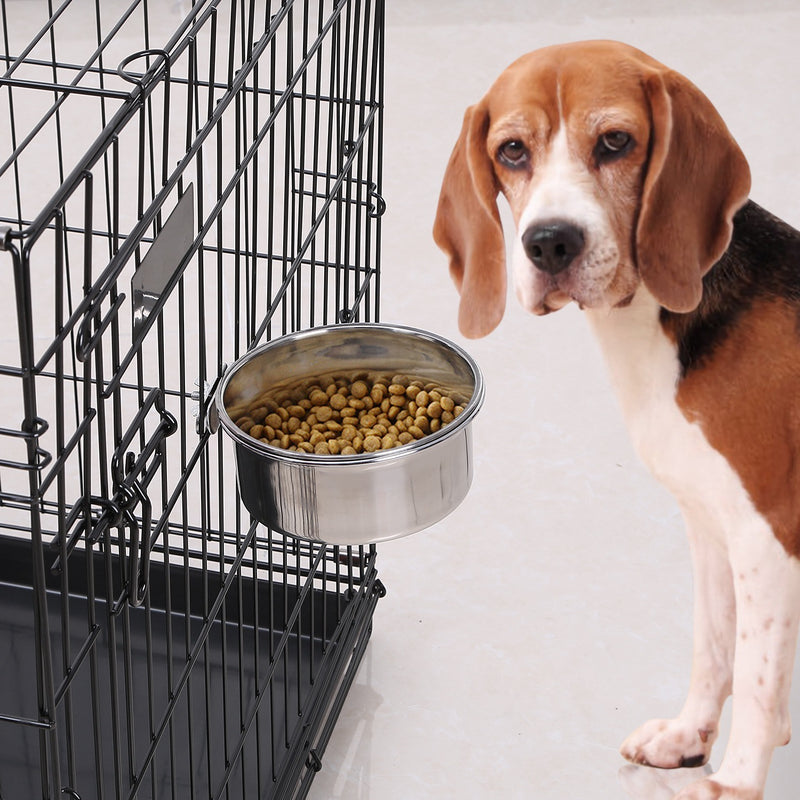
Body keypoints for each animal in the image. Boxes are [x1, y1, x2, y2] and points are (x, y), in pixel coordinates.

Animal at [434, 42, 800, 800]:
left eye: (615, 142)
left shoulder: (767, 533)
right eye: (512, 151)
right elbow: (714, 646)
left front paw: (735, 781)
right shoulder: (708, 523)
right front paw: (690, 738)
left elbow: (756, 675)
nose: (549, 243)